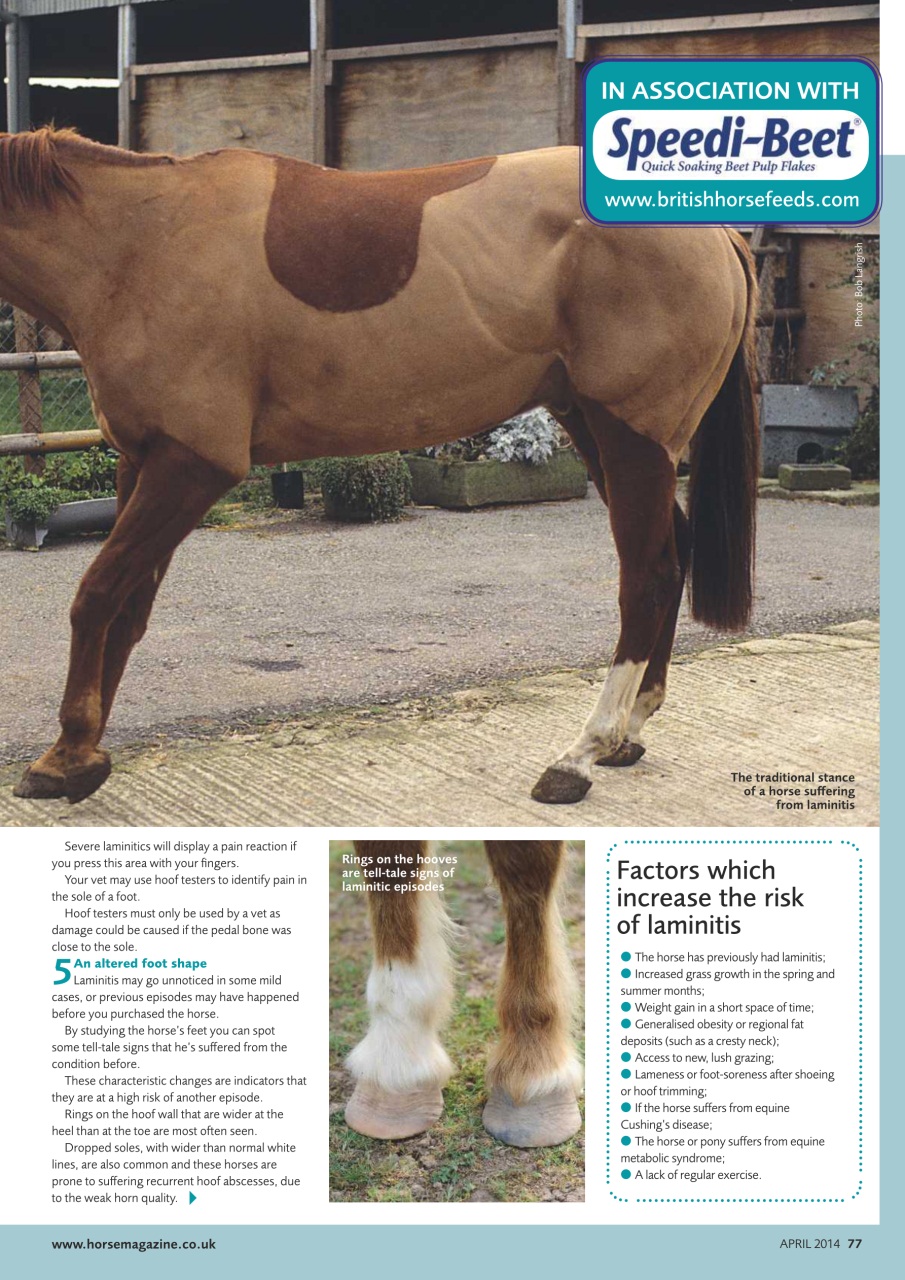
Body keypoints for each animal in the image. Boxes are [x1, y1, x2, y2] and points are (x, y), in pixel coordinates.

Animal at [0, 127, 758, 808]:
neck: (142, 241)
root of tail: (716, 233)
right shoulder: (142, 461)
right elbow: (127, 607)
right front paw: (77, 752)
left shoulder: (191, 465)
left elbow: (96, 595)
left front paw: (68, 758)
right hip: (596, 428)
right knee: (672, 553)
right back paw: (630, 731)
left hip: (631, 436)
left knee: (647, 578)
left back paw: (581, 754)